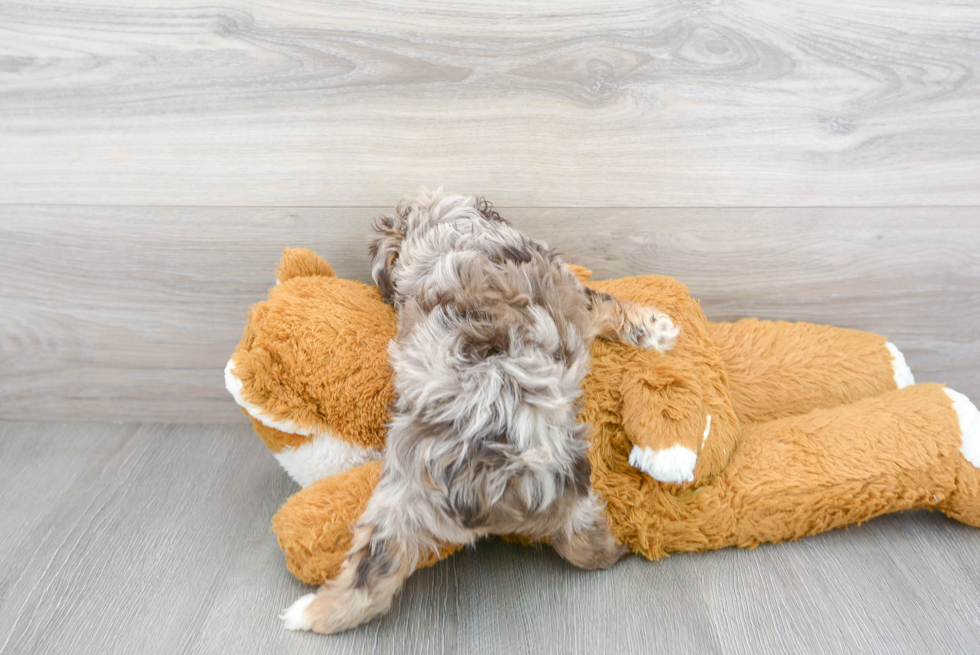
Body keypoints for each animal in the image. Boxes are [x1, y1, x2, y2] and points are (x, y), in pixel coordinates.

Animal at [284, 192, 676, 632]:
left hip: (396, 492)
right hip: (571, 484)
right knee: (590, 548)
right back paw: (623, 545)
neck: (443, 231)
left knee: (371, 575)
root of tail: (482, 484)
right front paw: (654, 327)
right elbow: (607, 302)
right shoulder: (573, 291)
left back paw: (309, 611)